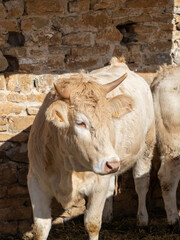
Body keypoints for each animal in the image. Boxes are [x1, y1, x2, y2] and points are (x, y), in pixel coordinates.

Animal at [27, 58, 155, 240]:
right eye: (80, 122)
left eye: (109, 118)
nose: (112, 164)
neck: (67, 166)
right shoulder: (36, 181)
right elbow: (41, 227)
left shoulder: (98, 184)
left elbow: (92, 223)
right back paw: (108, 215)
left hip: (146, 148)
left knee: (141, 183)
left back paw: (142, 219)